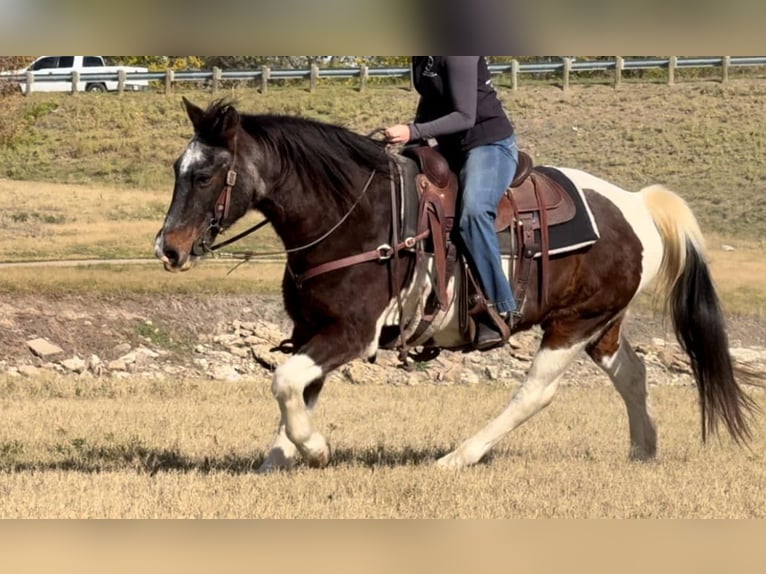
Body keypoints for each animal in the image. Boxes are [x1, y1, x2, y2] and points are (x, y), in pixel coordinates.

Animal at [154, 100, 756, 472]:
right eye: (177, 169)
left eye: (204, 175)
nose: (168, 248)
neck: (357, 215)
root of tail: (636, 204)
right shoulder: (312, 329)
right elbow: (298, 388)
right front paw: (276, 461)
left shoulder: (352, 333)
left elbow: (284, 382)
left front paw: (317, 450)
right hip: (600, 323)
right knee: (631, 374)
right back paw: (642, 451)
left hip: (571, 325)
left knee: (536, 393)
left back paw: (458, 457)